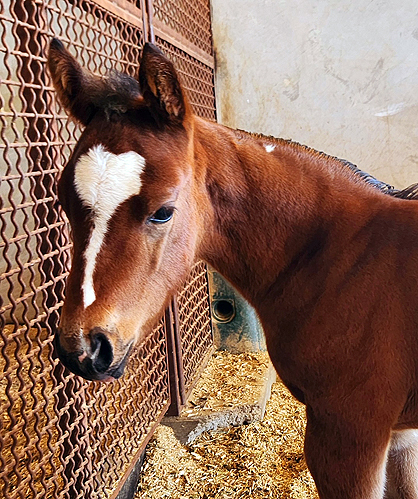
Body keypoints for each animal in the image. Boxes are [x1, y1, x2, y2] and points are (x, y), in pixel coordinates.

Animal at [47, 40, 418, 499]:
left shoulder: (350, 434)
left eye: (163, 211)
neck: (349, 256)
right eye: (64, 200)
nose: (83, 348)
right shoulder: (400, 435)